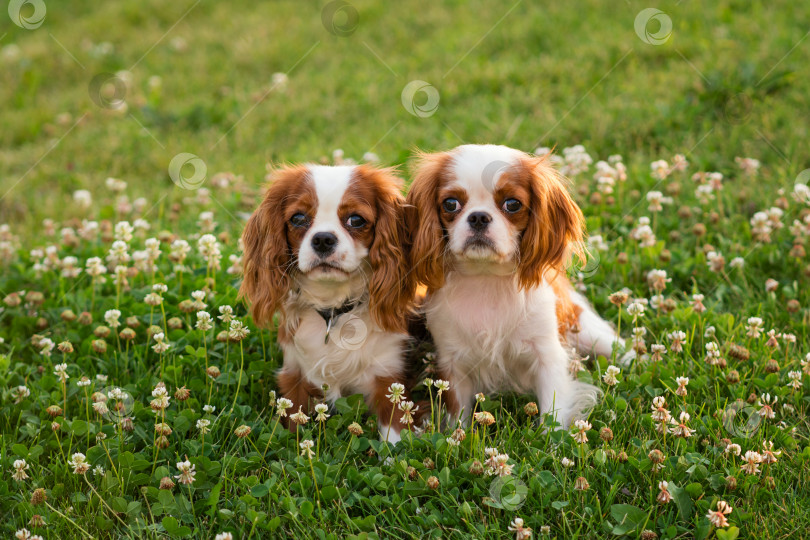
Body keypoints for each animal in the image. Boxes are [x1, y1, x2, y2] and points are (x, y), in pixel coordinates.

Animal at [235, 162, 410, 440]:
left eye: (356, 220)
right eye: (298, 218)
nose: (323, 239)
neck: (333, 310)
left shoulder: (389, 377)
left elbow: (395, 434)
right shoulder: (294, 377)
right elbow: (292, 427)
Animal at [404, 146, 624, 428]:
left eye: (512, 204)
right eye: (450, 204)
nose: (478, 217)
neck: (486, 277)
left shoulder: (548, 355)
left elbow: (554, 412)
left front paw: (550, 438)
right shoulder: (453, 364)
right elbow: (458, 415)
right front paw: (456, 436)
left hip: (585, 330)